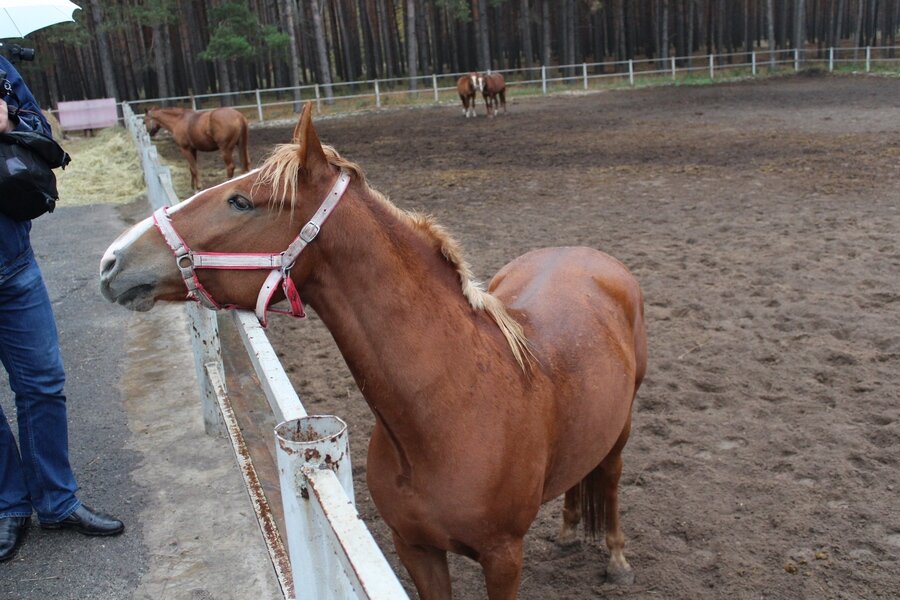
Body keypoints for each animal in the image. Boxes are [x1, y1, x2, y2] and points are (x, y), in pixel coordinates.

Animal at [98, 103, 648, 600]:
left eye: (240, 201)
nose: (112, 260)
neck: (456, 407)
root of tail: (587, 256)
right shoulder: (415, 549)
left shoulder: (504, 557)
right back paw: (570, 530)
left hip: (621, 428)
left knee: (611, 479)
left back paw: (618, 559)